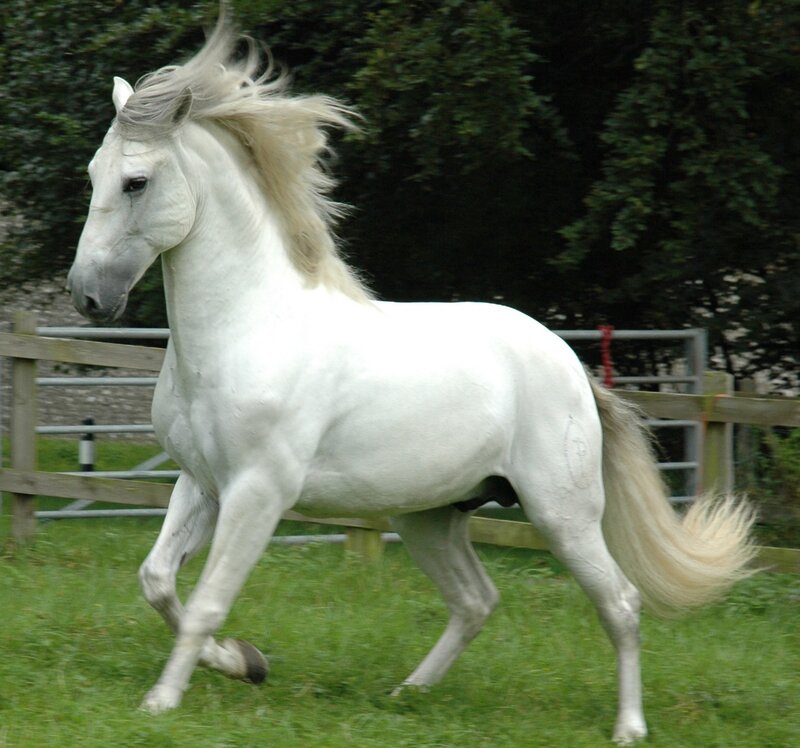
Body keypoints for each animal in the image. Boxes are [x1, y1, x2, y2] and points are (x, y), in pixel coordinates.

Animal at [66, 16, 756, 744]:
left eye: (136, 181)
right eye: (93, 174)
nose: (87, 296)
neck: (247, 326)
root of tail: (569, 366)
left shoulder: (257, 493)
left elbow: (204, 601)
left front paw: (162, 701)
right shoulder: (200, 483)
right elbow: (158, 581)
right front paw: (246, 663)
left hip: (562, 512)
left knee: (620, 603)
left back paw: (628, 726)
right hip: (430, 516)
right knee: (476, 600)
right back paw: (406, 695)